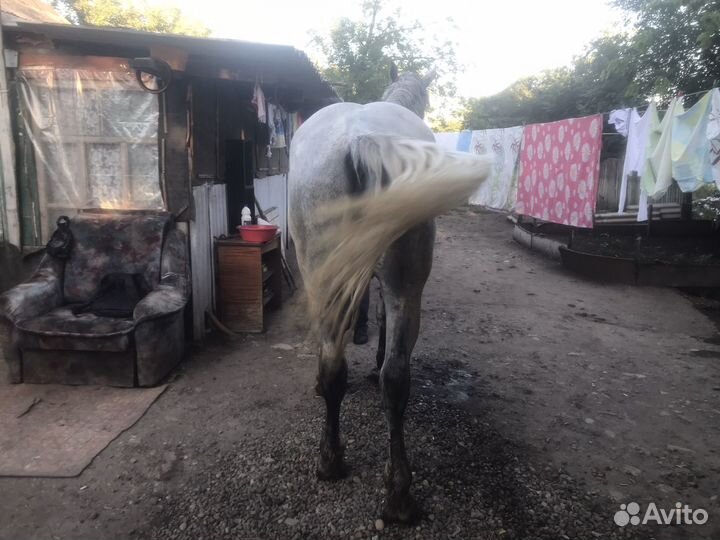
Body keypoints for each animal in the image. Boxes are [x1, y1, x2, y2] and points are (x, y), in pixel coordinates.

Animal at [288, 66, 491, 523]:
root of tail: (359, 139)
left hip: (327, 274)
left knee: (340, 367)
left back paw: (334, 461)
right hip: (403, 284)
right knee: (393, 375)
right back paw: (396, 493)